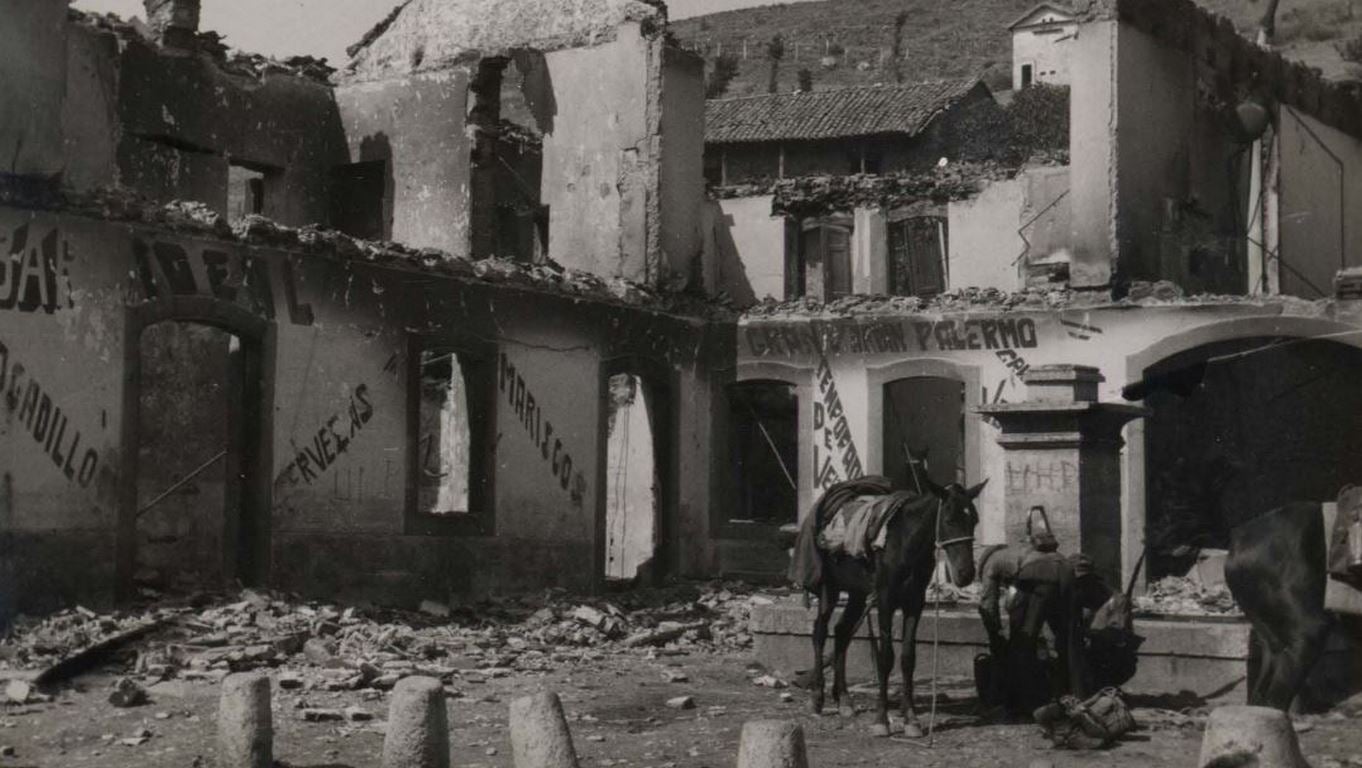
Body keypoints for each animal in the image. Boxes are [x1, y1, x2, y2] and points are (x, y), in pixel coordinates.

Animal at [800, 476, 986, 735]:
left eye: (974, 520)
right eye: (949, 519)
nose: (966, 574)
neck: (904, 541)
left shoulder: (915, 602)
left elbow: (908, 658)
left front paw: (911, 720)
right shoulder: (885, 599)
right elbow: (886, 657)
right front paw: (881, 720)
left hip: (858, 592)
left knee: (842, 632)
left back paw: (844, 700)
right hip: (829, 587)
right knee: (820, 632)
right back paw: (817, 699)